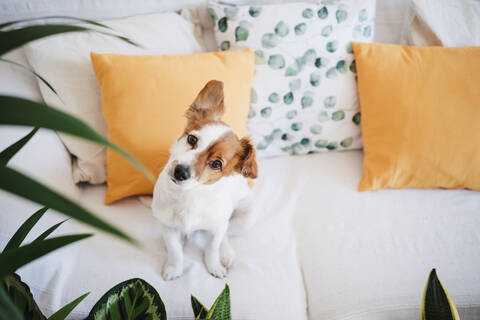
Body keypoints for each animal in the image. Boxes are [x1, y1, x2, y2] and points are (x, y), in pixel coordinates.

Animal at [154, 80, 258, 280]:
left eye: (216, 164)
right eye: (192, 139)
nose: (180, 172)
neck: (189, 195)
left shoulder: (217, 228)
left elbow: (212, 248)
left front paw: (214, 265)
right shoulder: (167, 225)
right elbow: (175, 251)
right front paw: (174, 268)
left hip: (246, 217)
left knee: (226, 235)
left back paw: (226, 253)